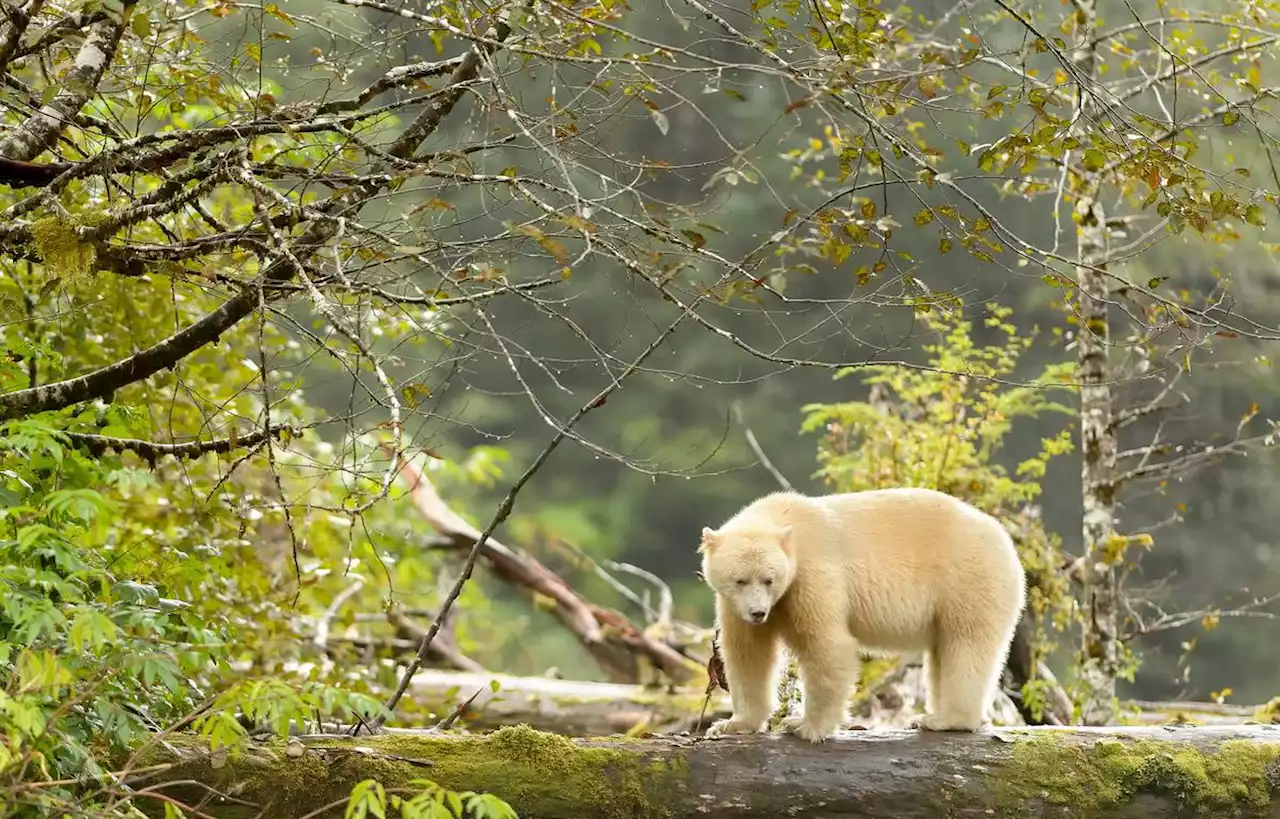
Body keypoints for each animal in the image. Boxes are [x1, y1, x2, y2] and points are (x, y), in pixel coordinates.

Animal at [696, 486, 1024, 742]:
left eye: (769, 579)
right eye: (740, 580)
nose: (758, 612)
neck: (785, 520)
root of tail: (1006, 541)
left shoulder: (812, 573)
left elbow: (826, 644)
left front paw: (805, 726)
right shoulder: (734, 604)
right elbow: (747, 653)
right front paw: (730, 725)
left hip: (968, 579)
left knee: (966, 644)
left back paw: (945, 719)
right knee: (943, 650)